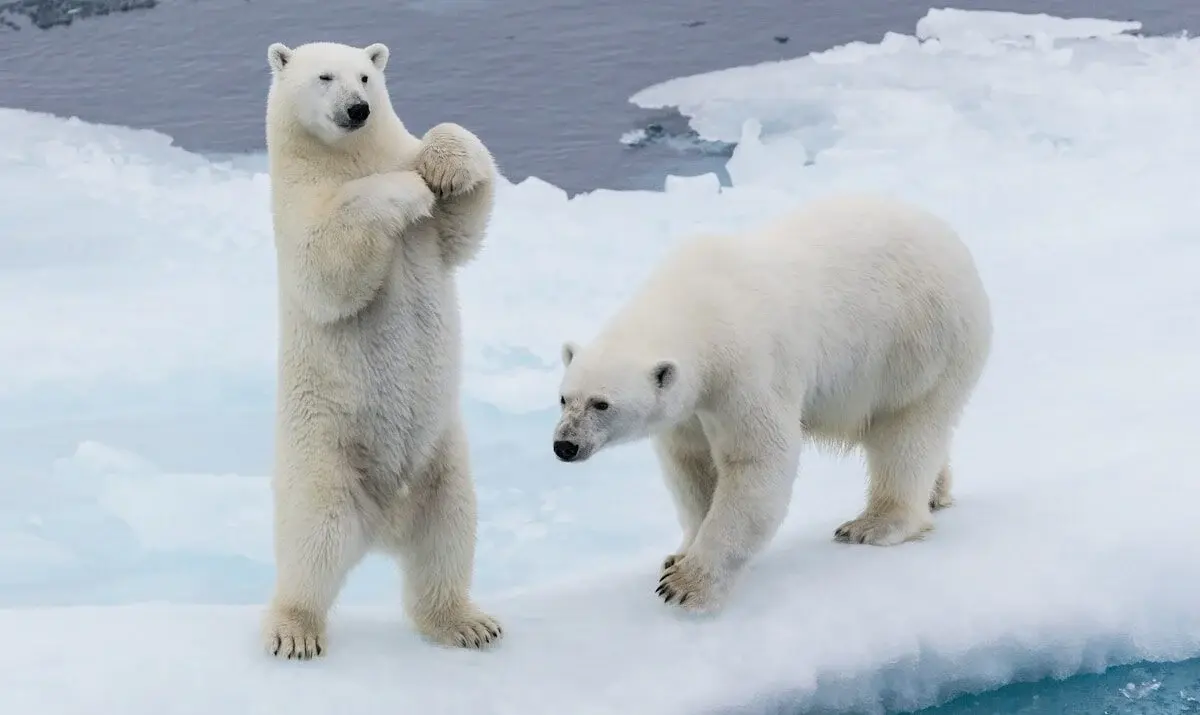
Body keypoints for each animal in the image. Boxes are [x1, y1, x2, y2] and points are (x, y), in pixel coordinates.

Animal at [261, 40, 502, 659]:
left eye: (366, 76)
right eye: (324, 77)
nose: (357, 110)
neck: (346, 157)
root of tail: (385, 525)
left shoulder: (433, 233)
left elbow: (464, 224)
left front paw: (442, 166)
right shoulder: (296, 204)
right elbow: (326, 266)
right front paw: (407, 190)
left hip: (442, 462)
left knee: (448, 535)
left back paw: (467, 623)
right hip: (323, 458)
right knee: (311, 545)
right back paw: (294, 630)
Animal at [552, 193, 993, 614]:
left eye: (601, 404)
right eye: (563, 398)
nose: (564, 445)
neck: (698, 306)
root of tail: (955, 245)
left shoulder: (745, 369)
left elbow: (757, 460)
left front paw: (686, 585)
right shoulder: (691, 405)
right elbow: (692, 465)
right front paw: (678, 555)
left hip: (919, 345)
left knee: (906, 432)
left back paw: (873, 524)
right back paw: (937, 492)